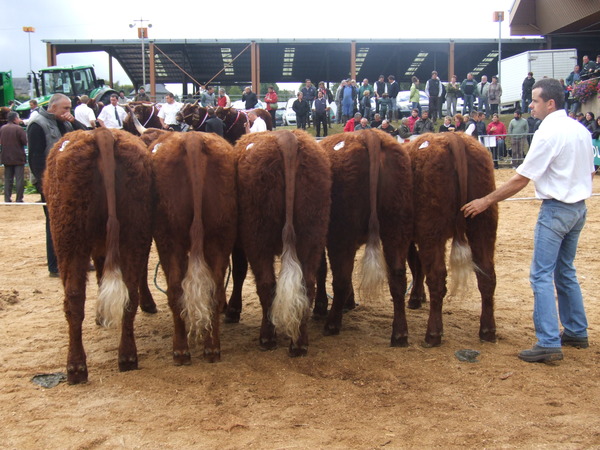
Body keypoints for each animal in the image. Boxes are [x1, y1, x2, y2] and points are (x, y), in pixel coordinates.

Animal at [45, 128, 156, 384]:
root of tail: (102, 133)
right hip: (135, 231)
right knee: (129, 294)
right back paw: (127, 357)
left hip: (70, 238)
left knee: (74, 298)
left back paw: (76, 367)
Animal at [151, 130, 238, 366]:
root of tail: (193, 139)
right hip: (220, 235)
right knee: (214, 290)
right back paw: (212, 348)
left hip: (169, 239)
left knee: (175, 290)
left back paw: (180, 350)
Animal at [232, 129, 330, 356]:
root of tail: (286, 136)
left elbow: (238, 272)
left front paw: (232, 309)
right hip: (312, 232)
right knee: (307, 283)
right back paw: (299, 343)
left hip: (257, 236)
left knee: (266, 284)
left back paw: (267, 337)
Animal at [316, 130, 414, 344]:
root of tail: (369, 134)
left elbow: (321, 270)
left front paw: (320, 307)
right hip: (397, 225)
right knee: (397, 276)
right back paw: (400, 334)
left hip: (341, 233)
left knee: (341, 277)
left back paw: (332, 324)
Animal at [406, 132, 500, 346]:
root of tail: (453, 136)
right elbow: (418, 266)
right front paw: (419, 297)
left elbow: (416, 265)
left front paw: (415, 298)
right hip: (483, 223)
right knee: (487, 275)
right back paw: (487, 330)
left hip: (431, 230)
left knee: (437, 277)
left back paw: (433, 334)